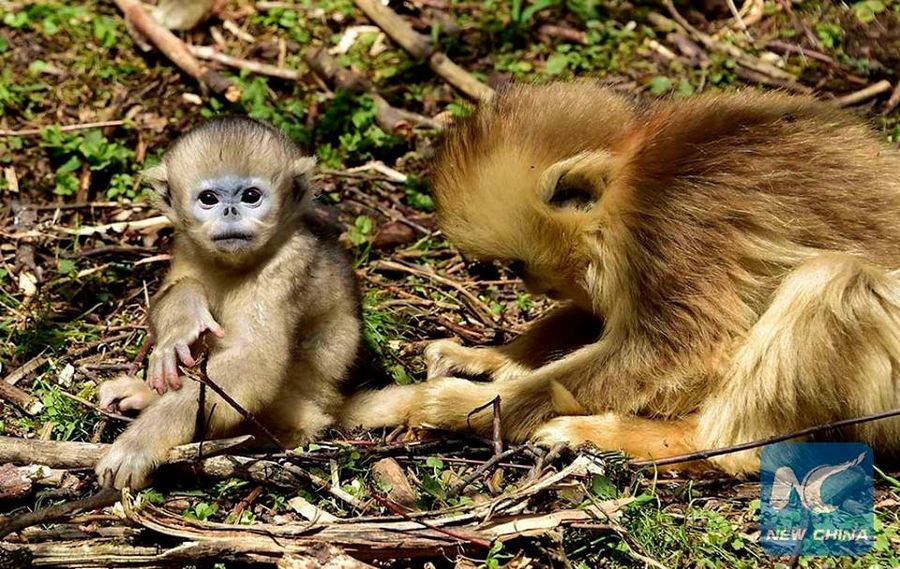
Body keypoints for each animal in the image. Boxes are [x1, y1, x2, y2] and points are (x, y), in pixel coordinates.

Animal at [96, 116, 364, 488]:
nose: (230, 211)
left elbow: (254, 361)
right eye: (208, 198)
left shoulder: (288, 264)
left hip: (300, 404)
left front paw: (140, 443)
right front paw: (182, 319)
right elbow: (175, 290)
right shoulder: (185, 245)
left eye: (251, 196)